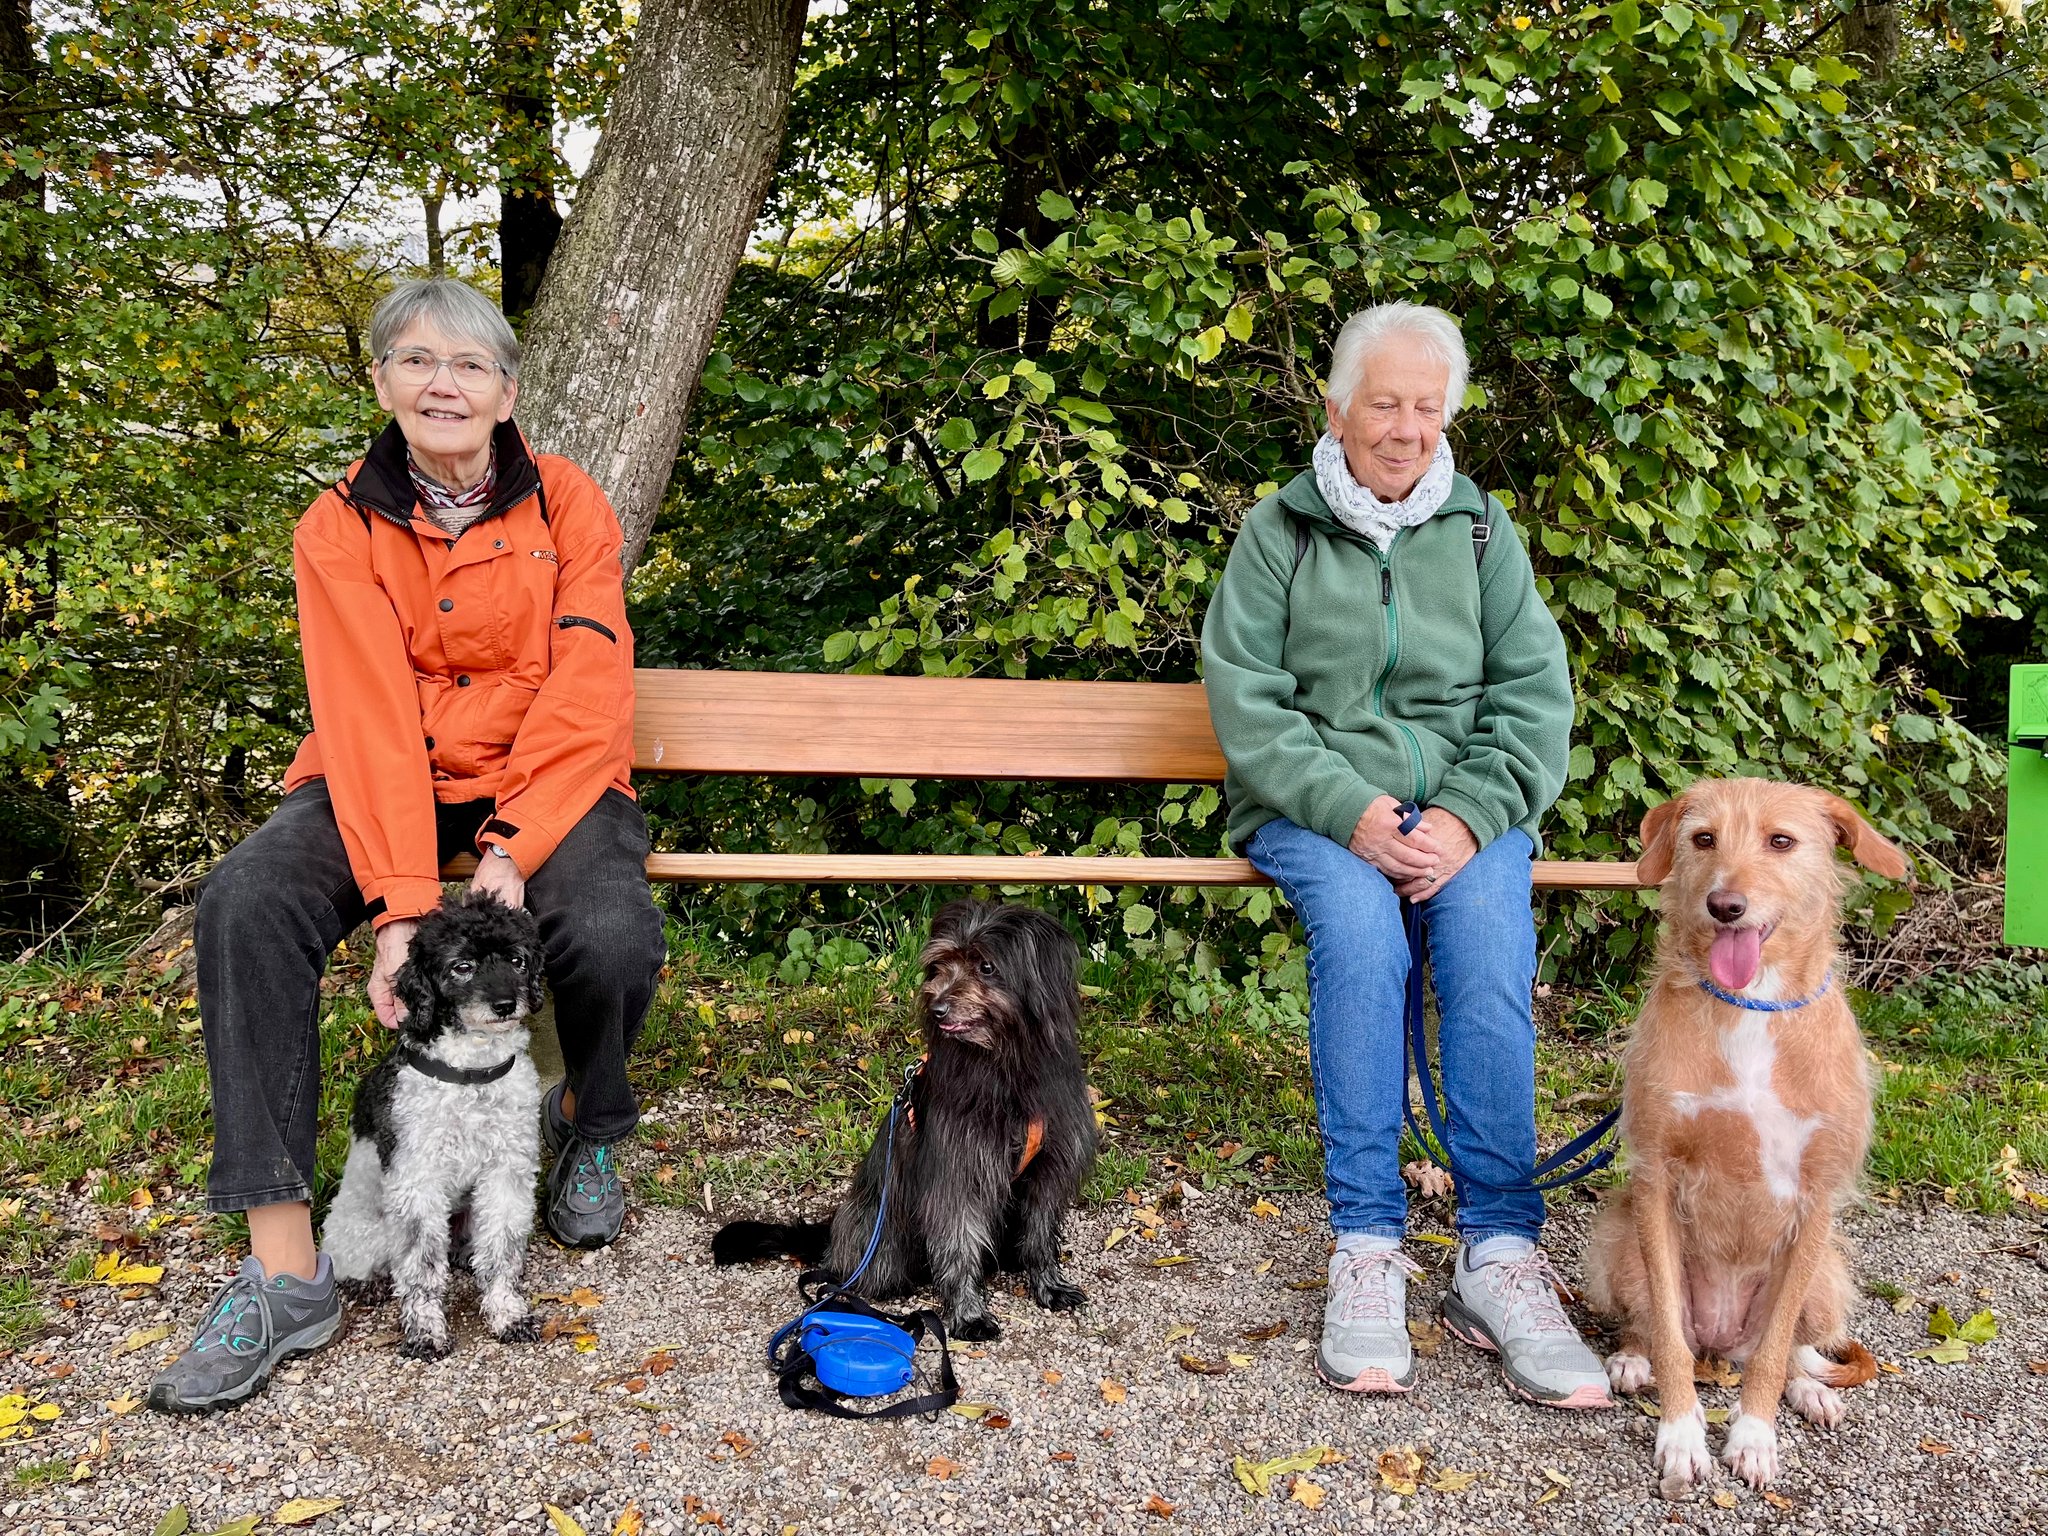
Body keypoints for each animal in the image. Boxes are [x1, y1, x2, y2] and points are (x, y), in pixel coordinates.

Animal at [323, 891, 547, 1358]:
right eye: (461, 966)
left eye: (516, 961)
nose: (505, 1004)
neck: (473, 1074)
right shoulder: (417, 1183)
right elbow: (420, 1265)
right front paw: (425, 1330)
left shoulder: (507, 1172)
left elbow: (501, 1248)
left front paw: (507, 1312)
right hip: (363, 1231)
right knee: (356, 1264)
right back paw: (366, 1284)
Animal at [713, 900, 1097, 1340]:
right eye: (940, 965)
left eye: (986, 966)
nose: (937, 1007)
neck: (1004, 1068)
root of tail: (834, 1235)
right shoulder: (958, 1174)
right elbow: (958, 1243)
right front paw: (969, 1314)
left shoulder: (1050, 1166)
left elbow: (1039, 1234)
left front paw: (1049, 1285)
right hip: (882, 1243)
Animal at [1584, 778, 1907, 1495]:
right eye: (1703, 838)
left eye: (1780, 841)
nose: (1725, 905)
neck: (1750, 1006)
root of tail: (1721, 1340)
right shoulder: (1656, 1178)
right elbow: (1669, 1337)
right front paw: (1681, 1436)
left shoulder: (1816, 1199)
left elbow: (1774, 1349)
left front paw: (1754, 1436)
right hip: (1616, 1241)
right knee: (1654, 1326)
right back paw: (1631, 1360)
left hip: (1828, 1275)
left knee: (1784, 1350)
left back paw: (1806, 1389)